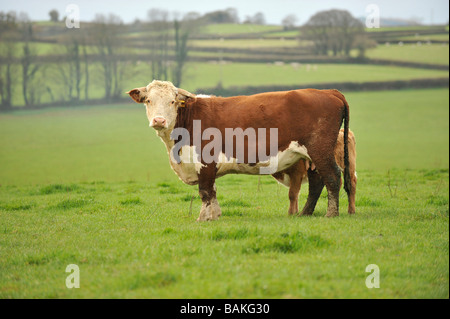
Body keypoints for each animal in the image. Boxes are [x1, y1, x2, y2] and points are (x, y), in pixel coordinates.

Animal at [126, 80, 352, 221]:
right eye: (149, 101)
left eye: (172, 101)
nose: (159, 120)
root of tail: (328, 91)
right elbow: (212, 191)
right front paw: (215, 216)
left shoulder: (205, 162)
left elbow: (205, 191)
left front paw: (203, 218)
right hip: (311, 155)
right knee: (317, 182)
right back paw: (305, 213)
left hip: (320, 149)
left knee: (332, 176)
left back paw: (331, 214)